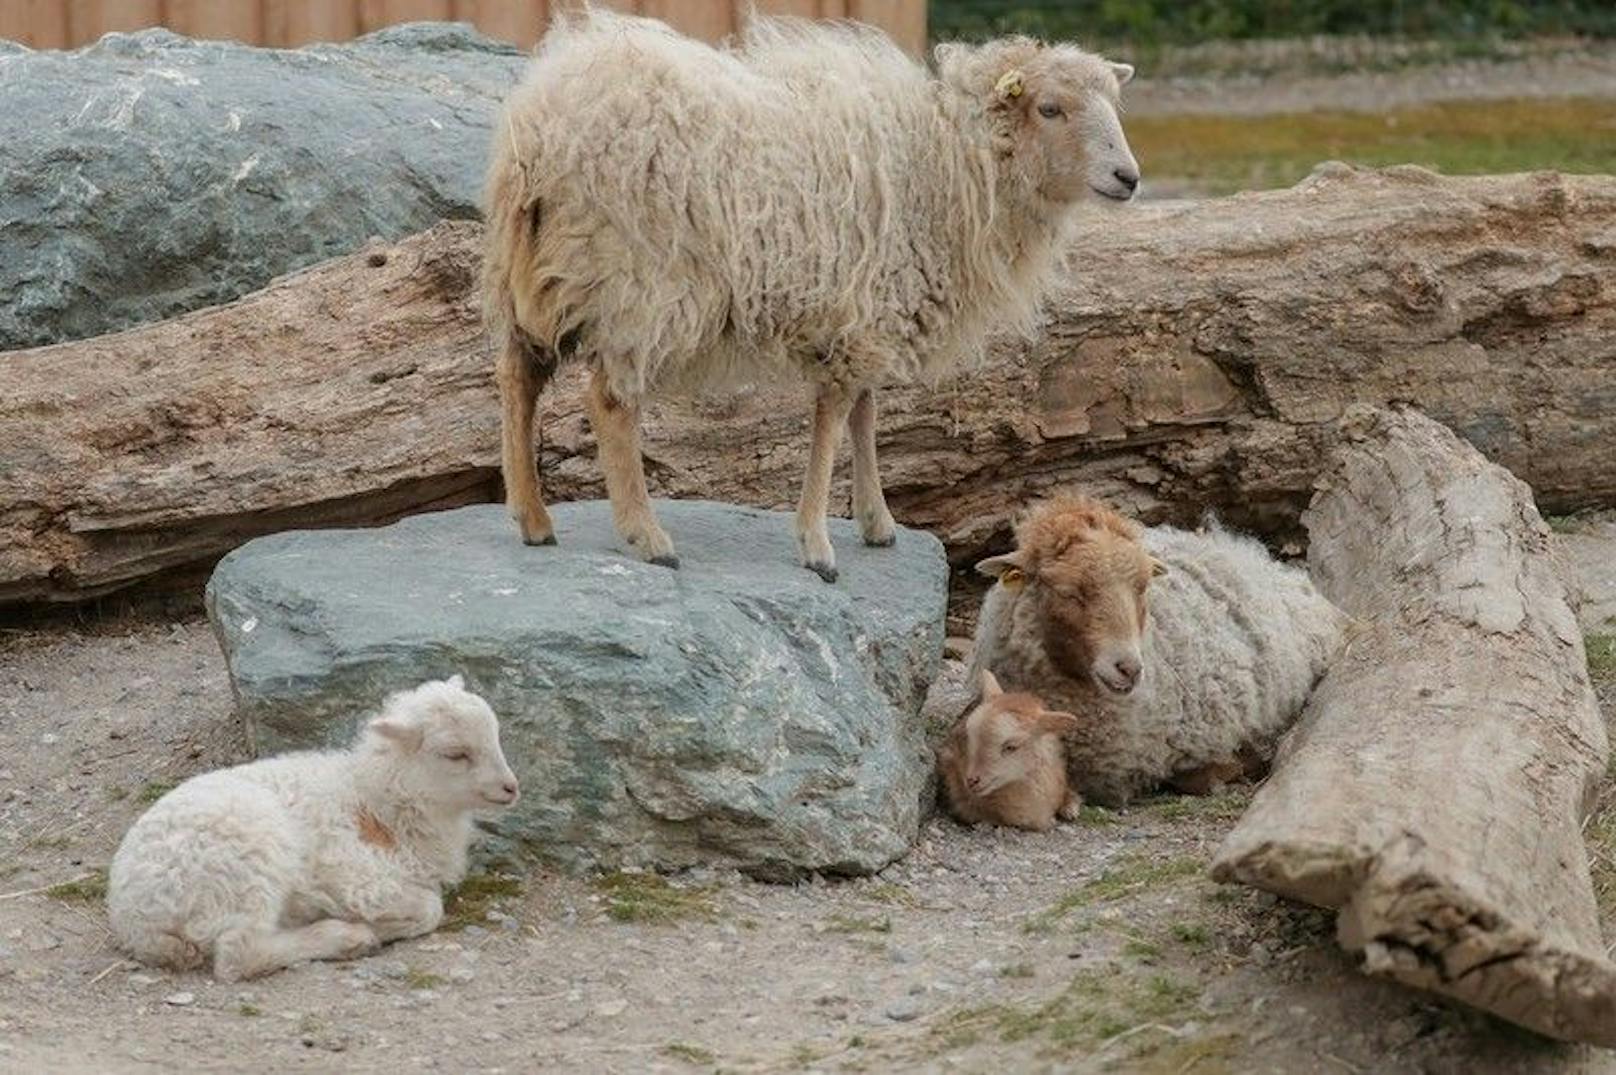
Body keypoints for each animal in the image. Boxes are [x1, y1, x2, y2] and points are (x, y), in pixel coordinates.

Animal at [105, 678, 517, 982]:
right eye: (455, 754)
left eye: (497, 734)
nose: (511, 787)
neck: (376, 802)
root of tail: (135, 921)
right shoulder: (353, 876)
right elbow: (430, 908)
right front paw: (374, 926)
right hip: (245, 864)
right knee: (239, 954)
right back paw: (347, 938)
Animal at [484, 8, 1144, 578]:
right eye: (1050, 108)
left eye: (1113, 106)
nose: (1129, 178)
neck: (946, 160)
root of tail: (539, 126)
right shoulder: (853, 310)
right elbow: (833, 419)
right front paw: (817, 543)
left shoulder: (874, 309)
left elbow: (864, 413)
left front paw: (877, 522)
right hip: (637, 282)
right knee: (610, 403)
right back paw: (646, 534)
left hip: (539, 270)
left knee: (517, 376)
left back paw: (532, 519)